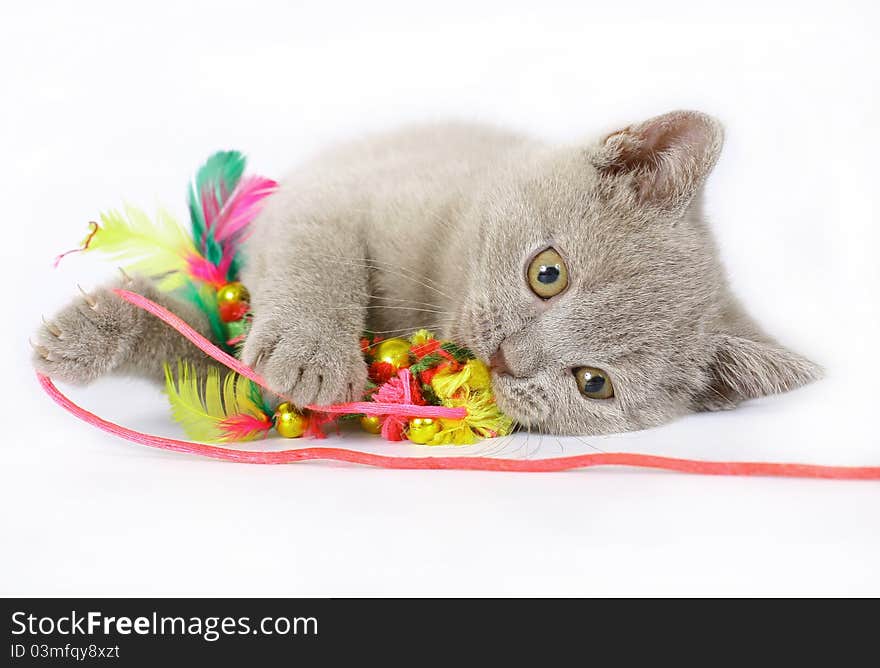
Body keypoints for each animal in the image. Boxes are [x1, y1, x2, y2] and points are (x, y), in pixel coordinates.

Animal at [32, 110, 820, 436]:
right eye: (548, 274)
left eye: (593, 383)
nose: (509, 357)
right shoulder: (330, 193)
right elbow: (317, 257)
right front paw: (312, 355)